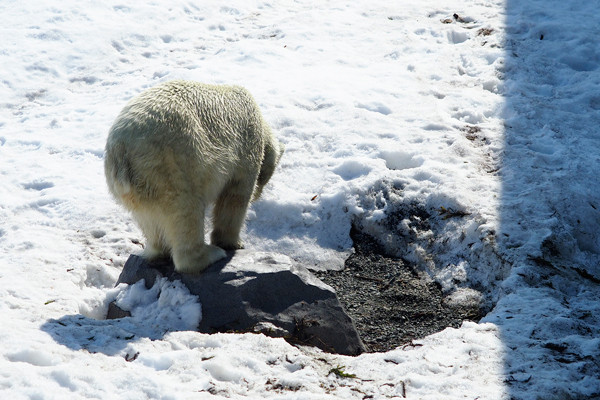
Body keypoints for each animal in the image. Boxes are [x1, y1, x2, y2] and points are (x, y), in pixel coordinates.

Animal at [105, 81, 284, 276]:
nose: (258, 196)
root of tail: (121, 150)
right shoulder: (245, 149)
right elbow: (234, 197)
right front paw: (232, 243)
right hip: (173, 164)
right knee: (186, 211)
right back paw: (210, 254)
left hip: (137, 186)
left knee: (149, 218)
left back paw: (159, 249)